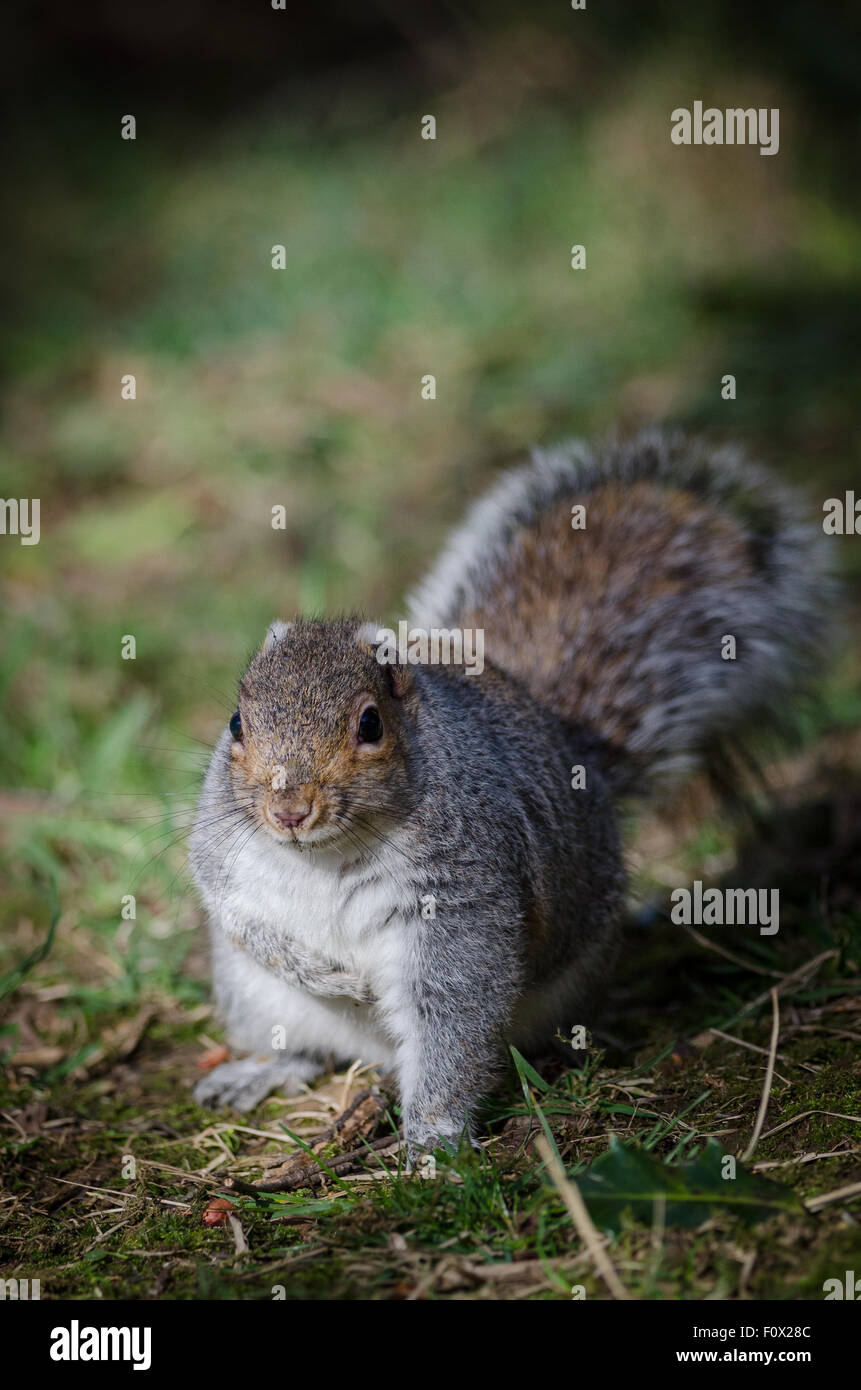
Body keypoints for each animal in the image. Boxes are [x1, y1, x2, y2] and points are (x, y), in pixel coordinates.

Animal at [190, 428, 834, 1156]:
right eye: (236, 724)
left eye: (370, 724)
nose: (288, 811)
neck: (324, 854)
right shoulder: (224, 850)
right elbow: (234, 909)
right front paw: (325, 972)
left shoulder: (460, 898)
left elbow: (454, 1013)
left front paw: (435, 1140)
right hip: (252, 997)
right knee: (302, 1049)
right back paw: (258, 1071)